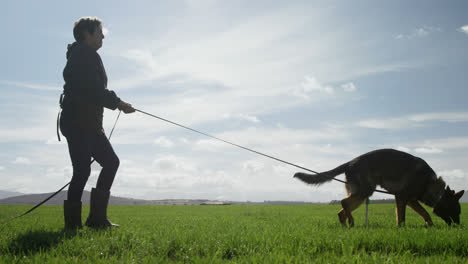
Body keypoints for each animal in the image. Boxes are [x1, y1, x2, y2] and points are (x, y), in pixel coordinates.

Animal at [294, 148, 462, 227]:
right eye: (457, 211)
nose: (459, 226)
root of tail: (349, 162)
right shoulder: (402, 197)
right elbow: (402, 217)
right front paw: (401, 229)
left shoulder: (410, 200)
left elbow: (425, 213)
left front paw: (430, 226)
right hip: (365, 191)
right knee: (343, 202)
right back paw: (351, 222)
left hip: (362, 195)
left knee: (341, 211)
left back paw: (347, 227)